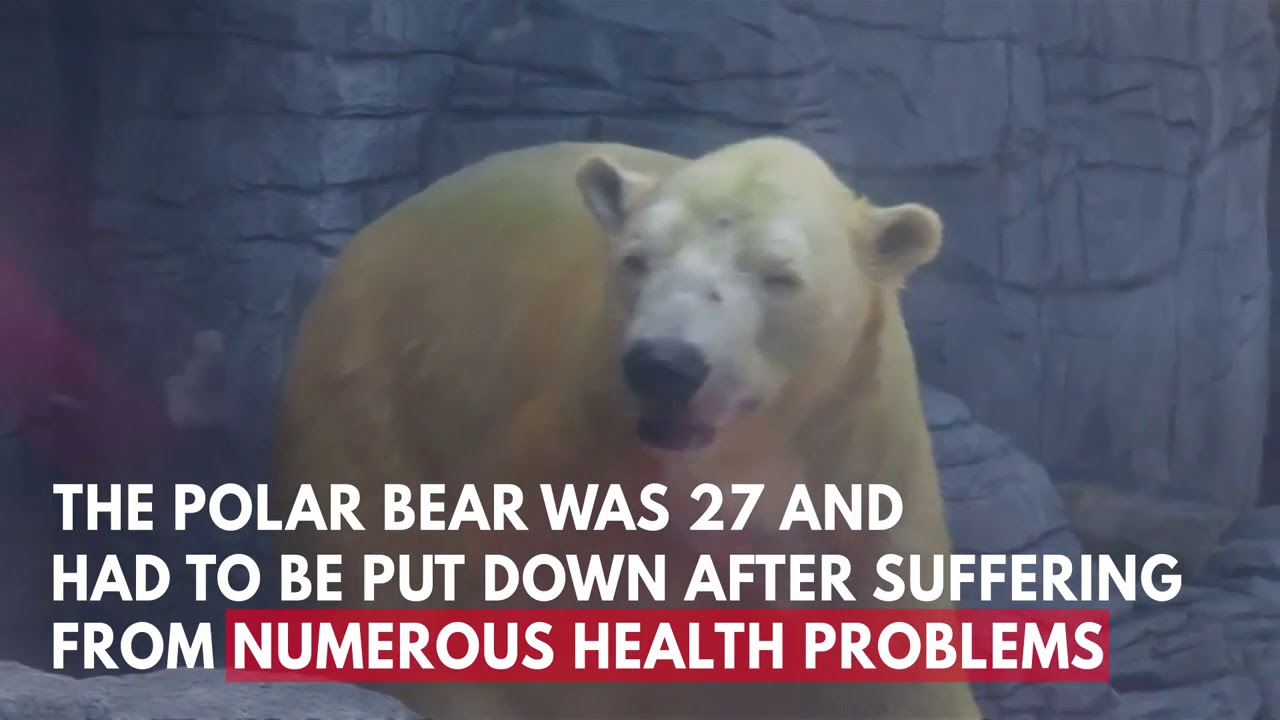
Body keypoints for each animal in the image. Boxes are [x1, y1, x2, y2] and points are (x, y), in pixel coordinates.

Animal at [271, 137, 982, 720]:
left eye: (780, 276)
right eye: (636, 260)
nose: (665, 364)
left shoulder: (858, 478)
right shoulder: (564, 468)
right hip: (367, 397)